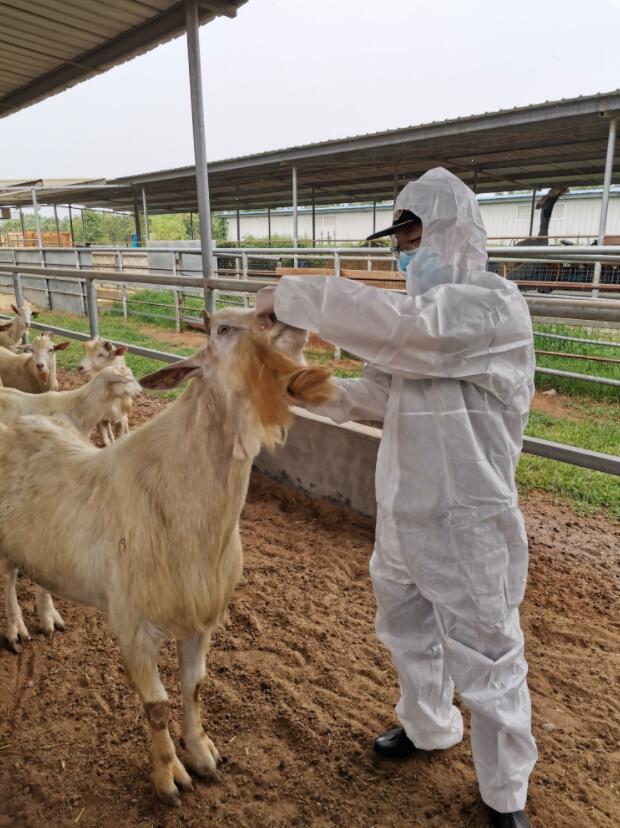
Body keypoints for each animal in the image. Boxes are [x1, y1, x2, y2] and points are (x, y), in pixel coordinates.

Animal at [0, 306, 332, 806]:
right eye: (224, 329)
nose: (286, 314)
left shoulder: (200, 621)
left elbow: (194, 689)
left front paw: (203, 754)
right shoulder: (132, 626)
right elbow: (156, 706)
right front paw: (169, 777)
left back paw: (47, 617)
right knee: (6, 580)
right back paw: (16, 629)